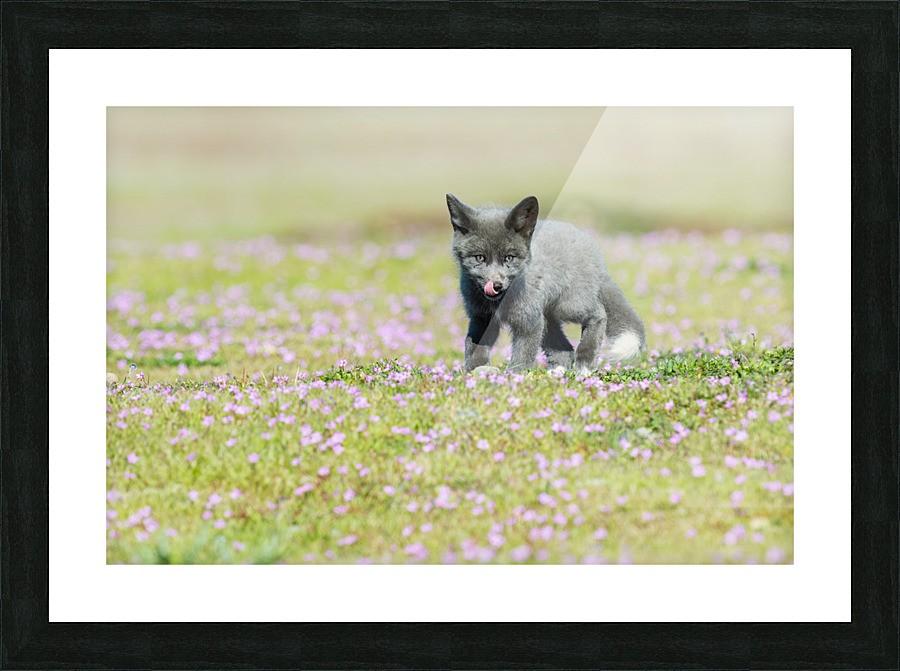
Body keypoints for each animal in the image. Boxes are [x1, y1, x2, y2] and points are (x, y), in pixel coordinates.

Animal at [447, 193, 646, 375]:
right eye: (480, 257)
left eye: (509, 258)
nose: (496, 285)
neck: (498, 302)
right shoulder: (481, 317)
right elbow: (473, 346)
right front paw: (474, 372)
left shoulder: (529, 322)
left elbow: (522, 356)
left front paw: (513, 380)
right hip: (548, 317)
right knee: (565, 350)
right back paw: (556, 373)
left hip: (567, 307)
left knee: (599, 313)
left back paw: (585, 363)